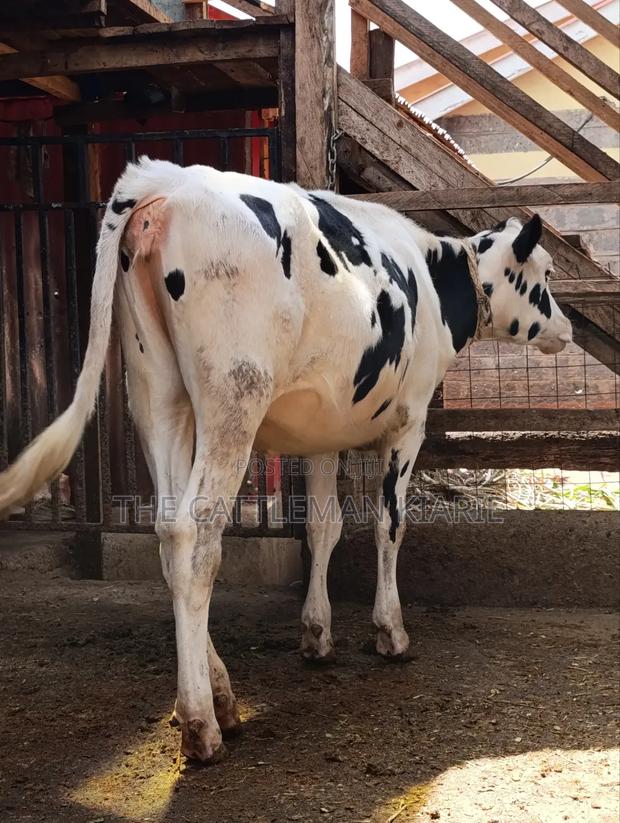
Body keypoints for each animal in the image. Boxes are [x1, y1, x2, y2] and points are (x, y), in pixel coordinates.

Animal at [0, 158, 572, 762]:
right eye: (547, 273)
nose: (567, 328)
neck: (435, 279)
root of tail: (166, 179)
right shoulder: (409, 423)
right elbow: (389, 526)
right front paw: (390, 632)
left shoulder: (322, 434)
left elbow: (323, 528)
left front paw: (317, 634)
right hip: (234, 395)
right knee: (194, 536)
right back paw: (202, 722)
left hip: (156, 390)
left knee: (166, 532)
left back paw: (216, 694)